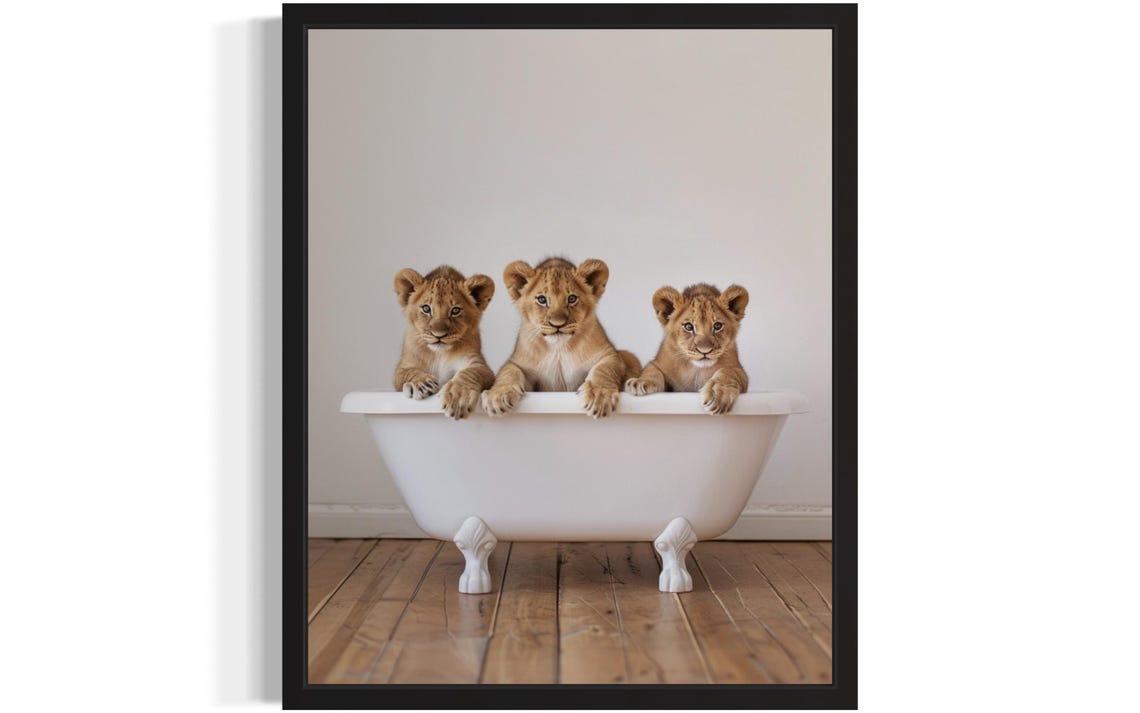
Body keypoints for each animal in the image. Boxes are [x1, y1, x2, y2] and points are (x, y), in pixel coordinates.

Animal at [392, 265, 496, 419]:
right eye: (426, 309)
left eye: (455, 310)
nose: (439, 335)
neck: (439, 354)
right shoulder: (403, 366)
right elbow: (407, 372)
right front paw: (421, 384)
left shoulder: (480, 365)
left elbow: (470, 373)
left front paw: (458, 396)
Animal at [482, 257, 641, 418]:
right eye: (542, 299)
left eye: (572, 299)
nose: (557, 324)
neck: (558, 349)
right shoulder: (518, 364)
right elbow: (508, 372)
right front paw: (497, 396)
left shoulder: (611, 355)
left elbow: (604, 369)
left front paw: (599, 395)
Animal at [625, 283, 750, 414]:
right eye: (688, 327)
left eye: (717, 326)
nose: (704, 351)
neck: (697, 370)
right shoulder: (658, 364)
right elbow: (652, 371)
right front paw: (639, 382)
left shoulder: (740, 371)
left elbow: (729, 373)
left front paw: (717, 395)